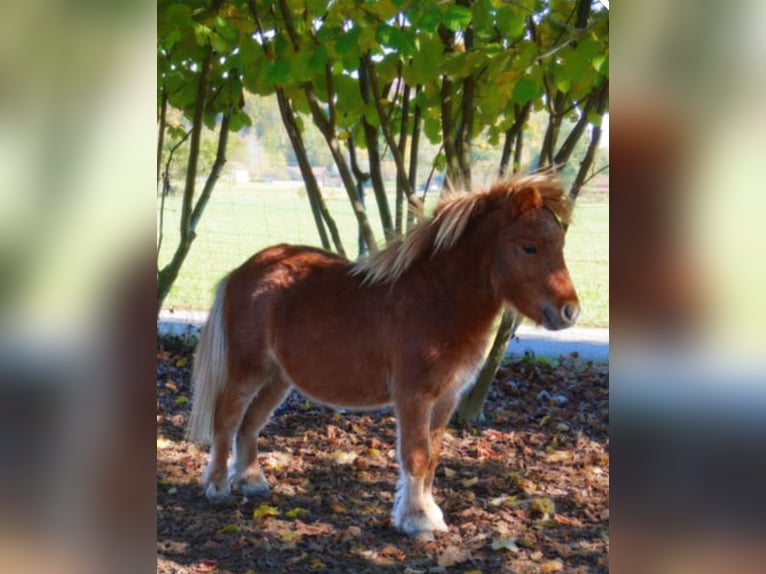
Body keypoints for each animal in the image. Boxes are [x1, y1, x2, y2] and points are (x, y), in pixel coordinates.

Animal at [188, 176, 584, 540]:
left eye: (561, 246)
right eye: (529, 247)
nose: (570, 312)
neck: (439, 299)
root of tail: (243, 271)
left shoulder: (446, 398)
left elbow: (433, 456)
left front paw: (429, 514)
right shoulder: (414, 397)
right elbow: (416, 455)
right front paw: (417, 520)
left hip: (278, 379)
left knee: (250, 424)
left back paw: (252, 481)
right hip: (247, 371)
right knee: (227, 419)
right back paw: (218, 485)